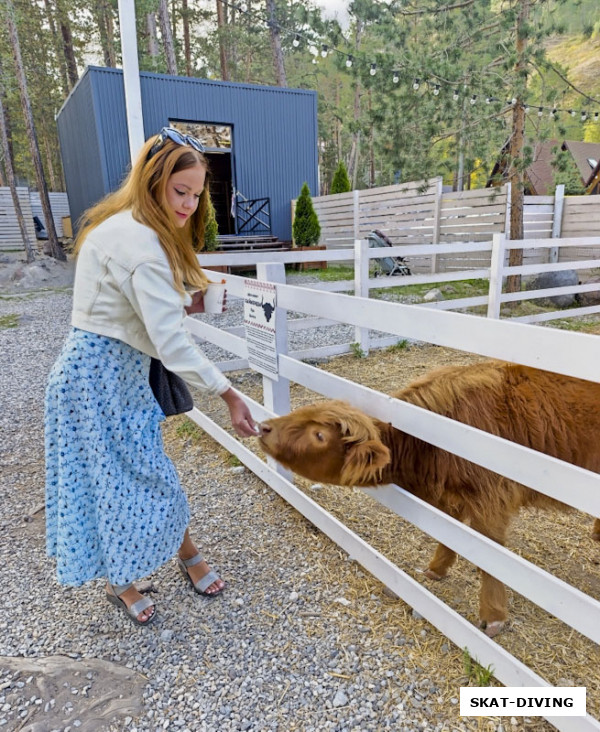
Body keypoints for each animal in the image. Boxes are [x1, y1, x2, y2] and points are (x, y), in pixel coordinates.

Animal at [258, 360, 600, 636]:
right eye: (301, 413)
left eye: (319, 435)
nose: (263, 426)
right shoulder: (452, 499)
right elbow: (448, 537)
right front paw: (436, 569)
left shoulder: (492, 497)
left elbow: (490, 557)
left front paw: (493, 616)